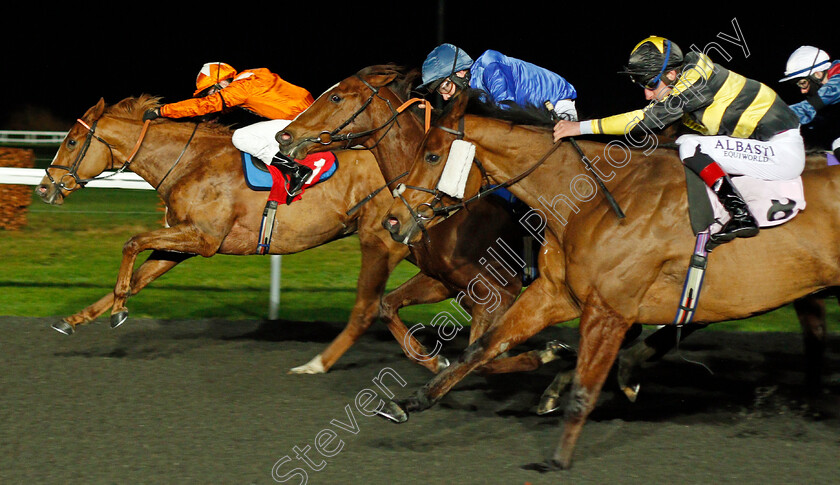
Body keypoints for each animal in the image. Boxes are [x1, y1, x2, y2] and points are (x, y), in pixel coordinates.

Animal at [276, 64, 572, 374]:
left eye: (335, 97)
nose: (284, 136)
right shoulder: (442, 280)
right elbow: (386, 306)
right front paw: (434, 360)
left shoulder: (500, 290)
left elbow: (480, 356)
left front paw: (546, 353)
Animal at [380, 91, 840, 468]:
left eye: (432, 156)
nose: (393, 220)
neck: (591, 199)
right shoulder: (556, 294)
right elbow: (481, 348)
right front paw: (412, 400)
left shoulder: (609, 310)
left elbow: (585, 388)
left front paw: (558, 460)